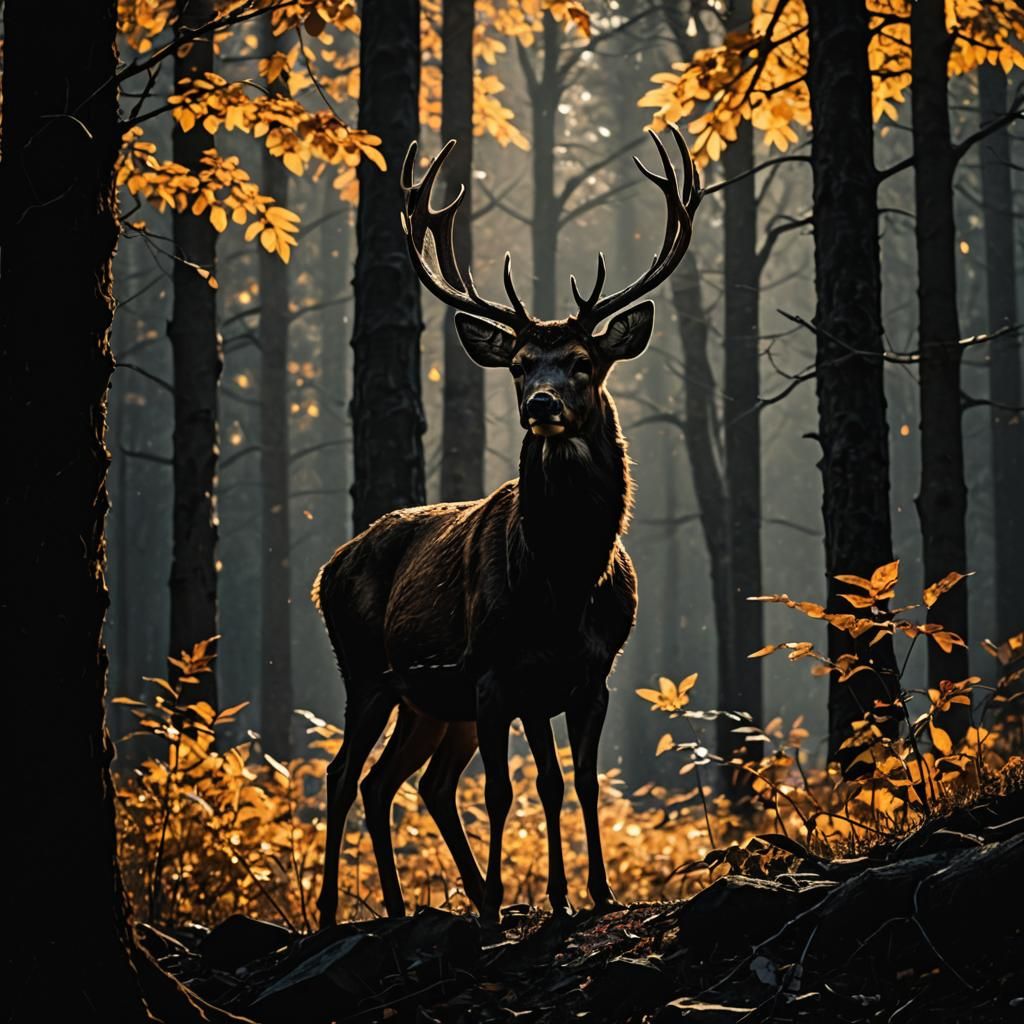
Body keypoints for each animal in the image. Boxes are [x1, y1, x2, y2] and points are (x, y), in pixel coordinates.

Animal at [313, 125, 701, 927]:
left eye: (583, 360)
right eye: (520, 364)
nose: (542, 405)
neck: (564, 583)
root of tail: (326, 567)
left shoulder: (588, 676)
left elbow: (574, 784)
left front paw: (586, 894)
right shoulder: (496, 671)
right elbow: (506, 792)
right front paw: (509, 903)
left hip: (432, 704)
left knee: (402, 782)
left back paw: (403, 906)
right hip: (367, 669)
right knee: (345, 774)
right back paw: (340, 911)